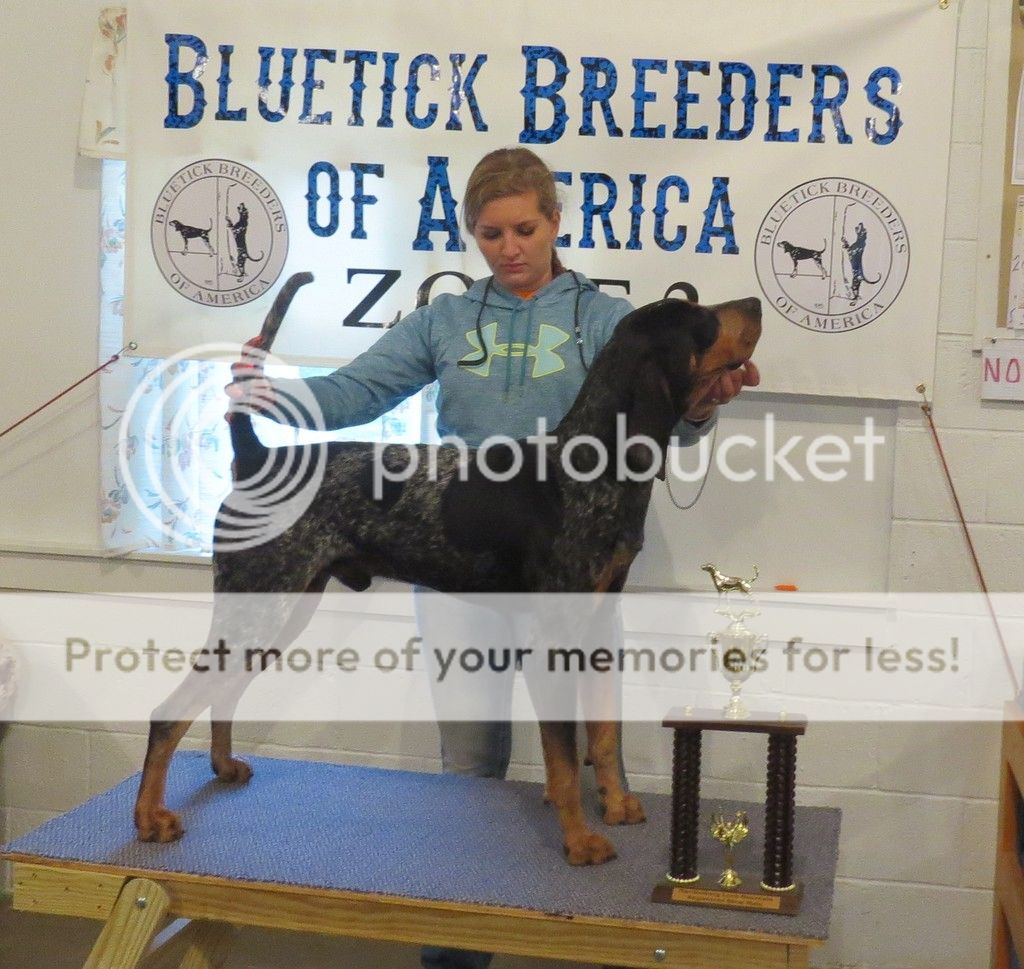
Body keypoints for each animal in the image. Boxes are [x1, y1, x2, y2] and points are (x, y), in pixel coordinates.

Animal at [133, 273, 762, 865]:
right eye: (702, 320)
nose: (755, 303)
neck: (590, 462)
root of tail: (255, 459)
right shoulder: (554, 638)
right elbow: (562, 759)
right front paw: (580, 839)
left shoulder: (600, 624)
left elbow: (604, 735)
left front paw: (618, 804)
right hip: (259, 607)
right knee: (168, 713)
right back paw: (149, 818)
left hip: (277, 611)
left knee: (221, 695)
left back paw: (222, 767)